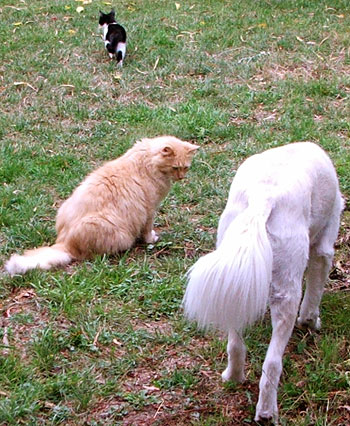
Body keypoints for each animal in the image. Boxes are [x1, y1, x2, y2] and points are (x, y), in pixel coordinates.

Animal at [5, 136, 198, 276]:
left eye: (186, 168)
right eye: (175, 168)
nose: (181, 177)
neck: (147, 160)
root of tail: (64, 243)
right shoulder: (150, 210)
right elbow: (147, 229)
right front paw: (151, 239)